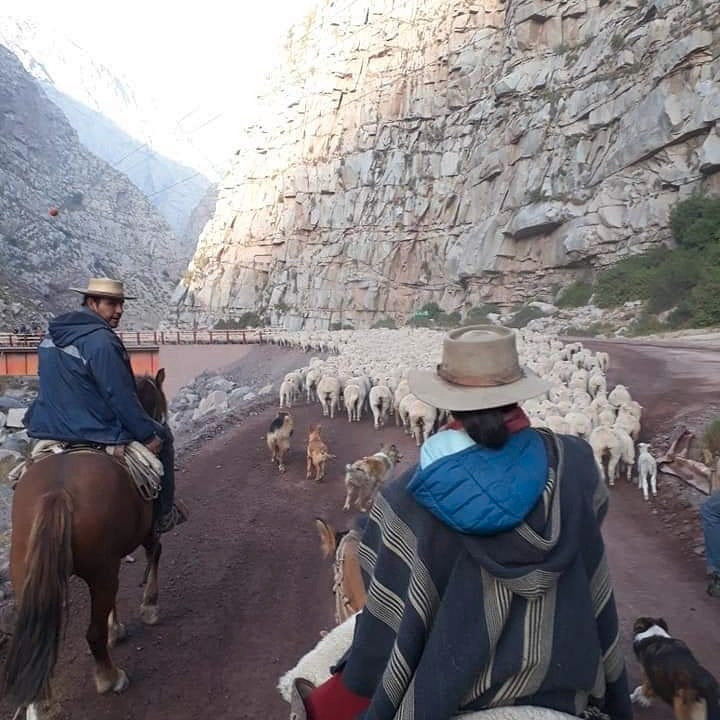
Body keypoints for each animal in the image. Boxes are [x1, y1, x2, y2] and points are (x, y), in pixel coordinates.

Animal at [3, 368, 169, 716]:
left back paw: (40, 703)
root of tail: (57, 493)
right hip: (100, 570)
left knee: (41, 635)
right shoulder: (142, 535)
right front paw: (148, 607)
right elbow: (155, 552)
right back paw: (110, 678)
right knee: (92, 634)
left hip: (28, 573)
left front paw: (118, 626)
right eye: (159, 406)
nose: (161, 426)